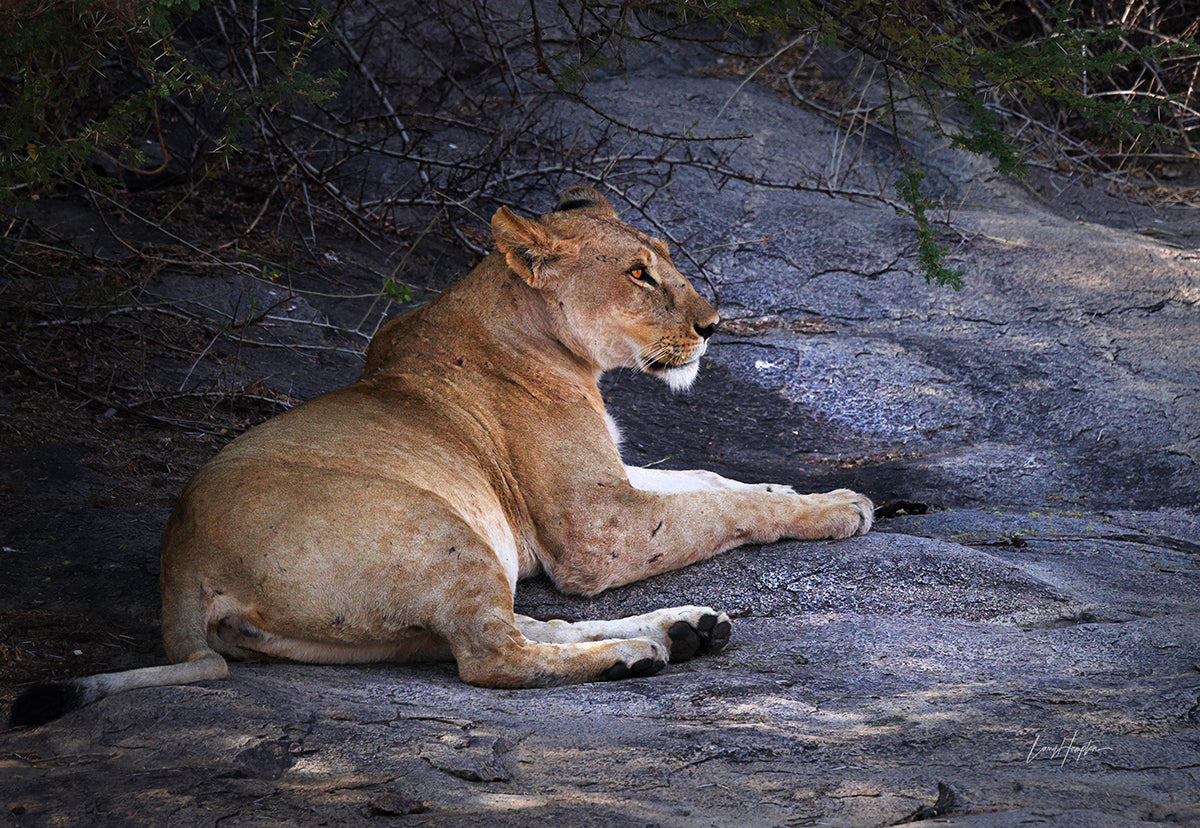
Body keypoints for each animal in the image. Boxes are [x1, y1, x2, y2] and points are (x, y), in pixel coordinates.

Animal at [10, 187, 872, 726]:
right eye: (637, 274)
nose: (714, 325)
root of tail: (180, 562)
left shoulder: (613, 485)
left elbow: (710, 480)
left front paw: (808, 491)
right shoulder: (595, 532)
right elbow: (721, 505)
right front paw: (842, 509)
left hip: (398, 607)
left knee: (520, 625)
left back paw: (681, 630)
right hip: (437, 524)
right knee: (493, 656)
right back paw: (639, 653)